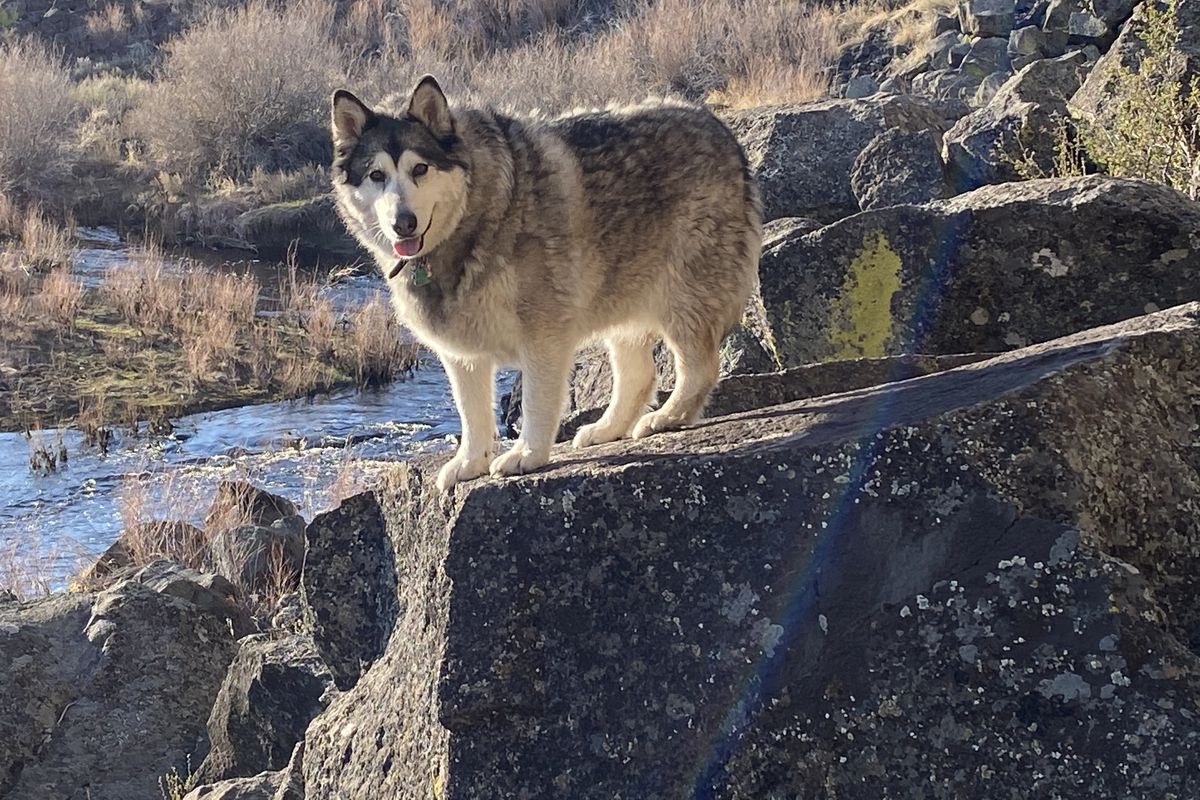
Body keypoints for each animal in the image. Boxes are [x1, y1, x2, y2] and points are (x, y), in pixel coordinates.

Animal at [331, 74, 758, 491]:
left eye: (419, 169)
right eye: (377, 175)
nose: (403, 223)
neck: (475, 212)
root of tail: (718, 126)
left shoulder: (543, 330)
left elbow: (536, 400)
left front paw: (527, 453)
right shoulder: (462, 354)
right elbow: (472, 413)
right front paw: (470, 462)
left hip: (685, 294)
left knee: (700, 368)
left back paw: (668, 417)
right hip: (624, 298)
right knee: (639, 376)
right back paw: (607, 428)